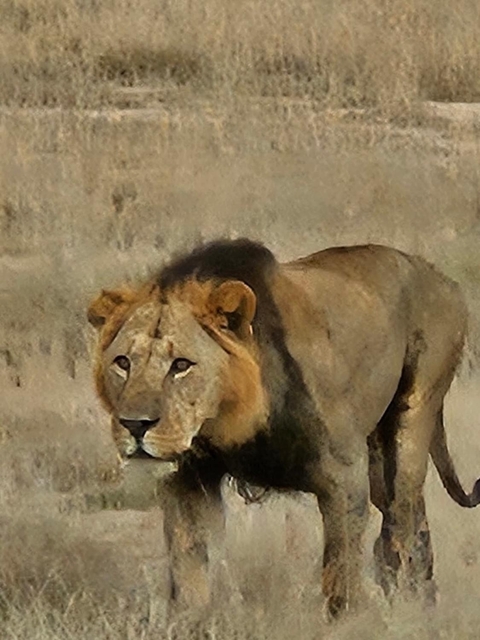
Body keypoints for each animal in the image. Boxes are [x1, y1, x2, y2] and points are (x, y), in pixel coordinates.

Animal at [88, 239, 480, 619]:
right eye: (123, 362)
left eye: (181, 365)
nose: (134, 425)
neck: (229, 423)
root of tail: (438, 275)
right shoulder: (187, 478)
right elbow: (190, 571)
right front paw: (188, 622)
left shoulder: (344, 476)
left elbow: (340, 571)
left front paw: (348, 622)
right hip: (377, 453)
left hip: (414, 415)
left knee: (404, 516)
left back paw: (412, 598)